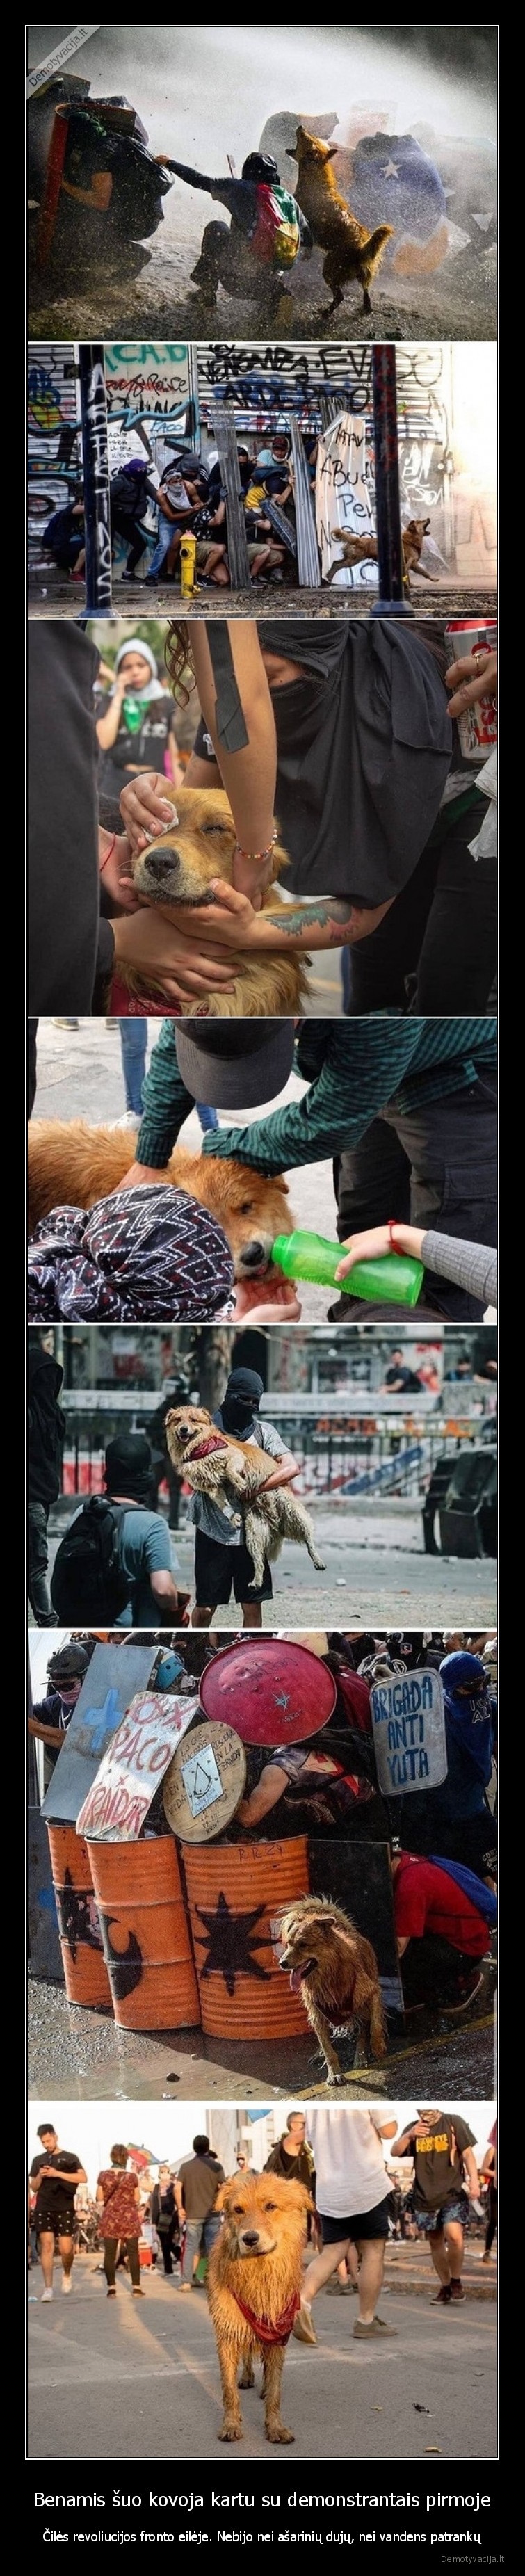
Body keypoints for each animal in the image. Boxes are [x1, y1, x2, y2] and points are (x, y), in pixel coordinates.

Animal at [165, 1411, 325, 1586]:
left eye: (193, 1420)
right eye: (178, 1420)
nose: (184, 1429)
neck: (197, 1448)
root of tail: (276, 1525)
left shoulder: (235, 1455)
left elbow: (230, 1469)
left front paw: (239, 1483)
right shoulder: (212, 1487)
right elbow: (222, 1502)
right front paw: (233, 1516)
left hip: (294, 1512)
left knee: (309, 1540)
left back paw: (318, 1561)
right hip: (253, 1535)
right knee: (259, 1562)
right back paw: (256, 1581)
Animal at [206, 2164, 311, 2442]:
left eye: (271, 2207)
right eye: (238, 2210)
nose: (250, 2239)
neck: (258, 2274)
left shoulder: (278, 2334)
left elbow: (275, 2389)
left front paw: (275, 2427)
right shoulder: (228, 2331)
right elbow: (228, 2389)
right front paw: (231, 2425)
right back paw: (247, 2377)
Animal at [279, 1896, 386, 2091]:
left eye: (303, 1945)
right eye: (289, 1944)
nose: (282, 1963)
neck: (329, 1976)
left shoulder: (372, 1992)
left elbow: (375, 2026)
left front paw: (378, 2047)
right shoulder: (317, 2014)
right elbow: (329, 2049)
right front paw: (334, 2074)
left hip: (362, 2007)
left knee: (362, 2031)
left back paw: (361, 2058)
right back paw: (319, 2053)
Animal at [285, 123, 391, 314]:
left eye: (306, 137)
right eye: (313, 137)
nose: (301, 126)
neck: (315, 179)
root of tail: (362, 249)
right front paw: (306, 255)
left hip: (330, 268)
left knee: (339, 296)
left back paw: (326, 312)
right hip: (364, 273)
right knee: (365, 290)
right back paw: (366, 306)